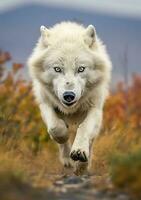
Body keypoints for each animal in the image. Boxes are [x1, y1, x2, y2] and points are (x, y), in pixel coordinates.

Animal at [27, 21, 111, 174]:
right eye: (57, 69)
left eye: (81, 69)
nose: (69, 96)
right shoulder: (45, 104)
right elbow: (56, 128)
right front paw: (65, 144)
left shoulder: (95, 109)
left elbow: (84, 128)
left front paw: (79, 152)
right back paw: (68, 160)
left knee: (91, 140)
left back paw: (82, 166)